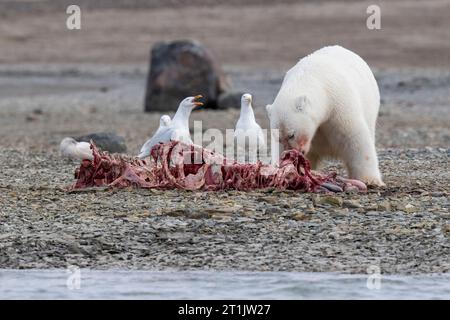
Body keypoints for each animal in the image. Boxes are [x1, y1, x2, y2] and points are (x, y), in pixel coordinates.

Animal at [266, 44, 384, 185]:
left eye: (291, 135)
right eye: (279, 138)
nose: (291, 153)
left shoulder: (338, 106)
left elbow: (355, 138)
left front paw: (370, 180)